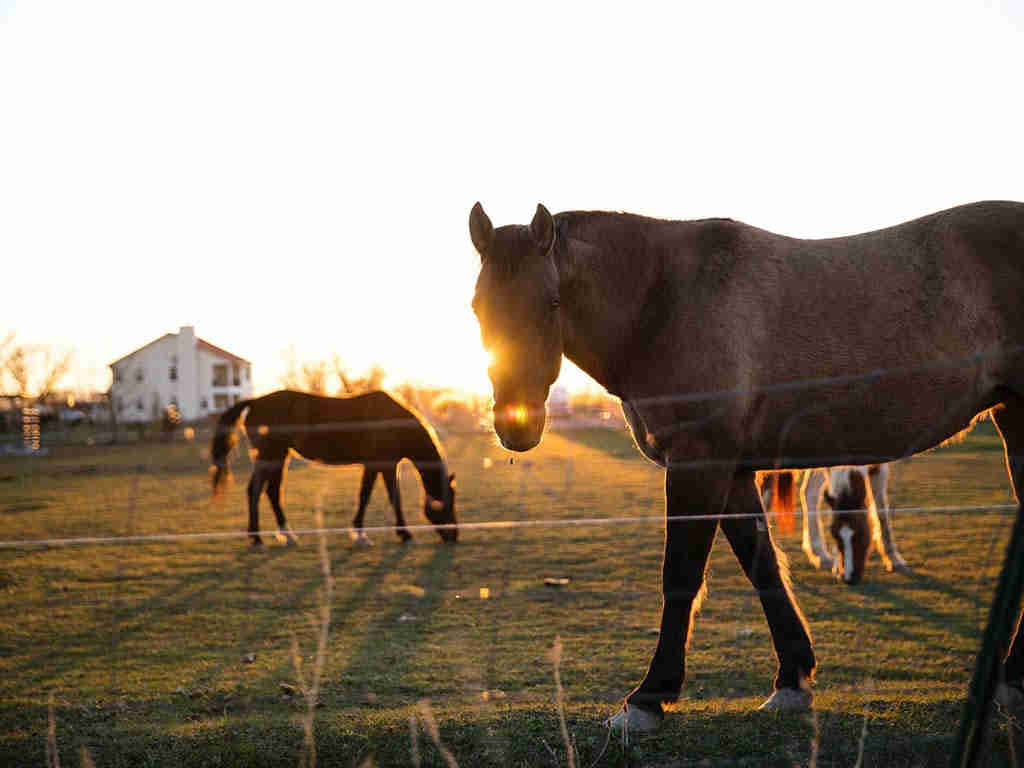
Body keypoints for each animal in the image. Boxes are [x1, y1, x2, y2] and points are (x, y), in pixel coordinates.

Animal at [209, 391, 458, 548]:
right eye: (446, 503)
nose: (454, 535)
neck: (393, 422)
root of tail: (255, 401)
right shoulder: (383, 465)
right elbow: (386, 497)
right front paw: (401, 535)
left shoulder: (378, 465)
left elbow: (368, 495)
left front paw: (362, 534)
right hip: (270, 456)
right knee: (256, 490)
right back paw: (257, 539)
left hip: (279, 457)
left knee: (271, 492)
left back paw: (287, 536)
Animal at [468, 196, 1024, 733]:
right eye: (478, 307)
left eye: (552, 302)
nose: (517, 425)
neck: (664, 299)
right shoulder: (733, 472)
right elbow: (763, 565)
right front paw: (792, 679)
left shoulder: (699, 464)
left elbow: (682, 575)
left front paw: (648, 698)